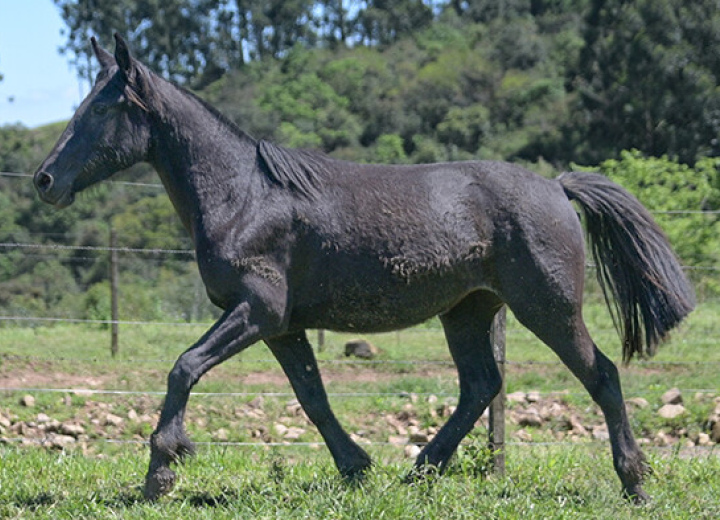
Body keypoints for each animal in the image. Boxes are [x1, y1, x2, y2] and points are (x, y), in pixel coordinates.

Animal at [32, 34, 692, 502]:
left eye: (103, 107)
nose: (45, 180)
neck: (244, 195)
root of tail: (557, 187)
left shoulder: (256, 310)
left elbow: (183, 368)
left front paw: (160, 472)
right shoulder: (282, 325)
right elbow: (313, 397)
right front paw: (356, 468)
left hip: (547, 308)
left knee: (601, 375)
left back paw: (634, 482)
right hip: (467, 311)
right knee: (481, 385)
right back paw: (418, 474)